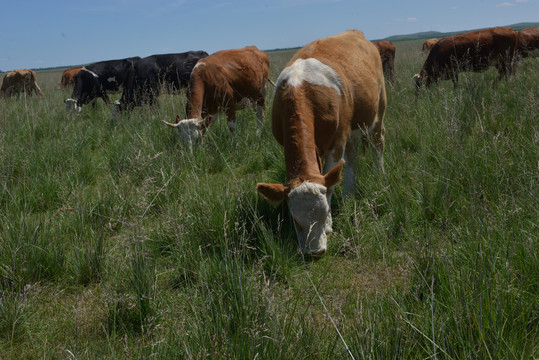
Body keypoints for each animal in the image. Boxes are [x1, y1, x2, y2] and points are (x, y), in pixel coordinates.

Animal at [256, 30, 386, 256]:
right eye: (296, 221)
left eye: (325, 213)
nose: (315, 251)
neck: (299, 88)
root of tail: (355, 32)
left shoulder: (338, 141)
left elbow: (330, 184)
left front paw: (330, 226)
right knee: (352, 156)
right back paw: (349, 193)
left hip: (379, 108)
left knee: (378, 142)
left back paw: (380, 175)